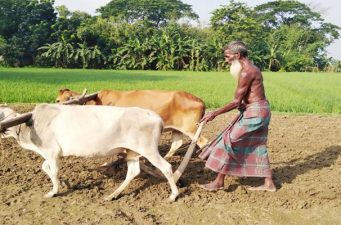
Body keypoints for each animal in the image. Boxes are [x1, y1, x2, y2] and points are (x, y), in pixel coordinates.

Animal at [0, 104, 179, 201]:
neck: (29, 125)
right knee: (133, 172)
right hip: (132, 152)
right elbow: (45, 167)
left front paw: (53, 191)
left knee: (166, 167)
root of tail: (156, 117)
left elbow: (54, 172)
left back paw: (173, 195)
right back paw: (112, 195)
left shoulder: (51, 151)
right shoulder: (52, 154)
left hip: (149, 150)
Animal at [55, 88, 207, 158]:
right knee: (177, 144)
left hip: (191, 128)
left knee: (203, 142)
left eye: (66, 99)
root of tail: (200, 100)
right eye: (57, 100)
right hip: (177, 129)